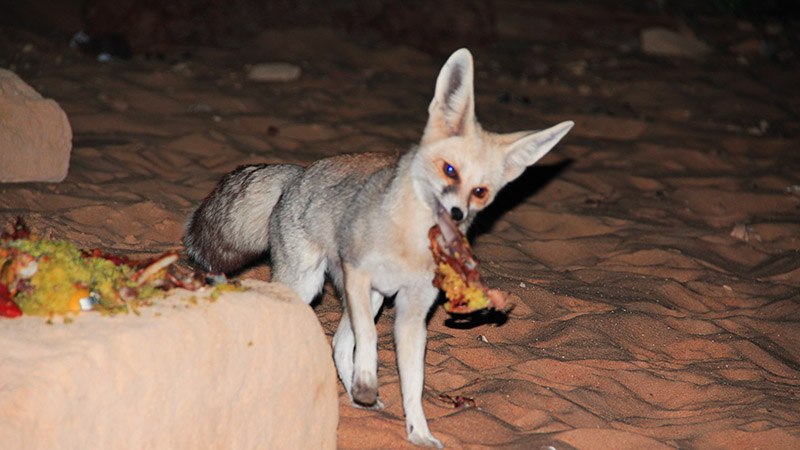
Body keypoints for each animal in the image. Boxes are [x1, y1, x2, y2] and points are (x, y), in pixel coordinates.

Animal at [184, 48, 573, 448]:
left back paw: (355, 396)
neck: (408, 245)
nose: (457, 213)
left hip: (372, 300)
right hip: (311, 286)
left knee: (339, 344)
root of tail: (298, 172)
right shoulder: (359, 275)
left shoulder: (412, 310)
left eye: (480, 191)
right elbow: (369, 340)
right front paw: (369, 383)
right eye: (449, 170)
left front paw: (418, 430)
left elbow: (413, 380)